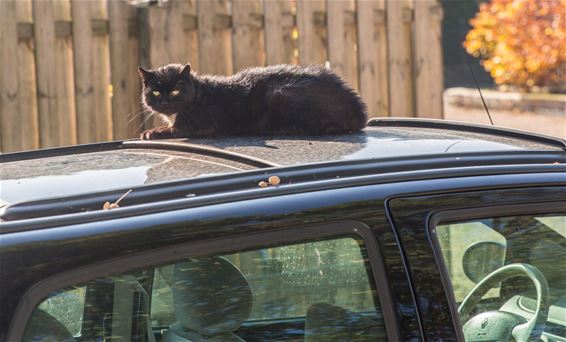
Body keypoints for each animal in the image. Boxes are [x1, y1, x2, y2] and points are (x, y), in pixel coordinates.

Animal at [140, 63, 370, 140]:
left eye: (176, 91)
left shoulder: (196, 126)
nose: (165, 102)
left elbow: (174, 130)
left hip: (281, 94)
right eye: (156, 93)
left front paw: (152, 132)